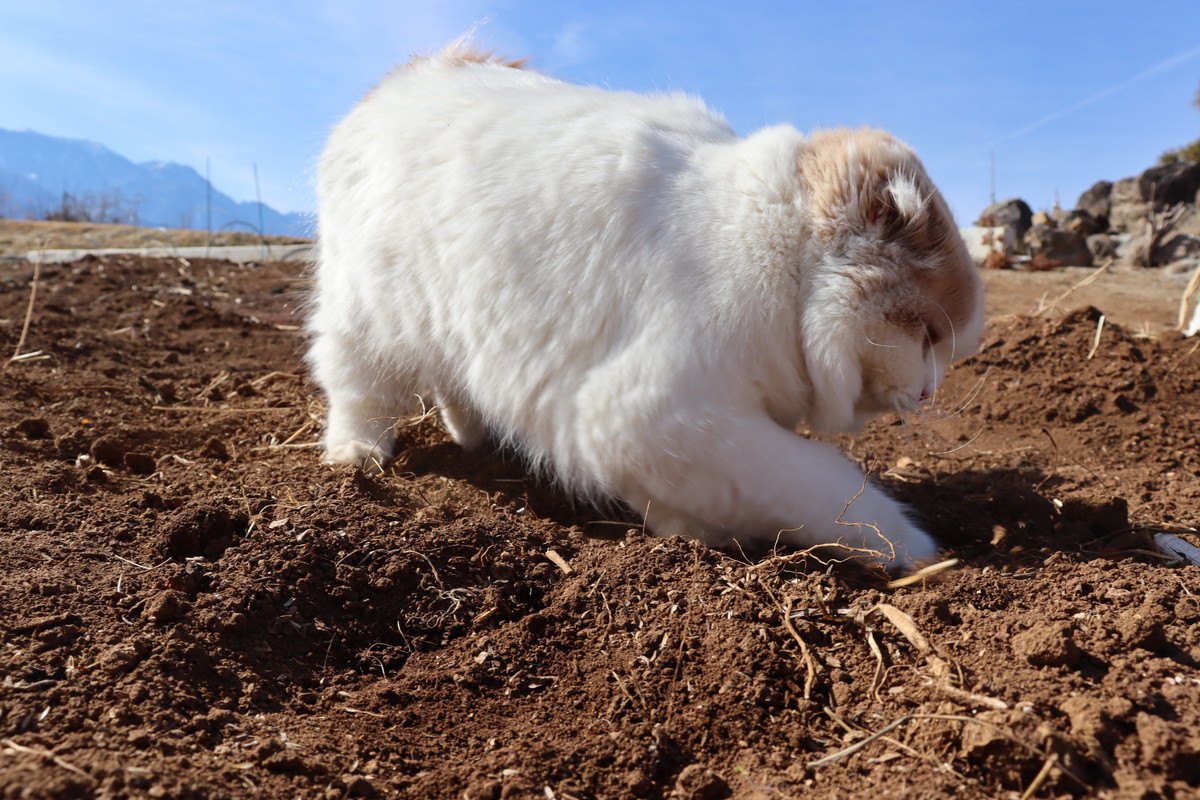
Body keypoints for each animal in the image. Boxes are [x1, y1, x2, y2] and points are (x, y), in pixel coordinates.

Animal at [307, 42, 984, 568]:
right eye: (929, 337)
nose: (929, 391)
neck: (777, 253)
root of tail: (416, 70)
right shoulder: (653, 416)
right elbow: (829, 487)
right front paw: (915, 551)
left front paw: (689, 533)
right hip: (367, 317)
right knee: (356, 388)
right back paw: (357, 454)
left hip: (456, 319)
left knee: (454, 382)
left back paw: (475, 433)